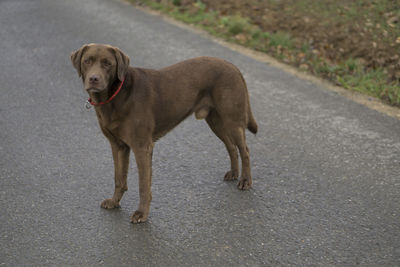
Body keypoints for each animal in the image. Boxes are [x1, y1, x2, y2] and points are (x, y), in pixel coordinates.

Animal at [70, 44, 258, 224]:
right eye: (87, 61)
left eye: (107, 64)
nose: (94, 79)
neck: (115, 96)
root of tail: (233, 66)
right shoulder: (118, 146)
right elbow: (119, 178)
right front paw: (114, 202)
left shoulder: (142, 147)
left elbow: (144, 185)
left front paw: (141, 214)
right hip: (215, 121)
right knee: (231, 146)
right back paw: (233, 173)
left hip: (232, 119)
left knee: (245, 150)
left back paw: (245, 181)